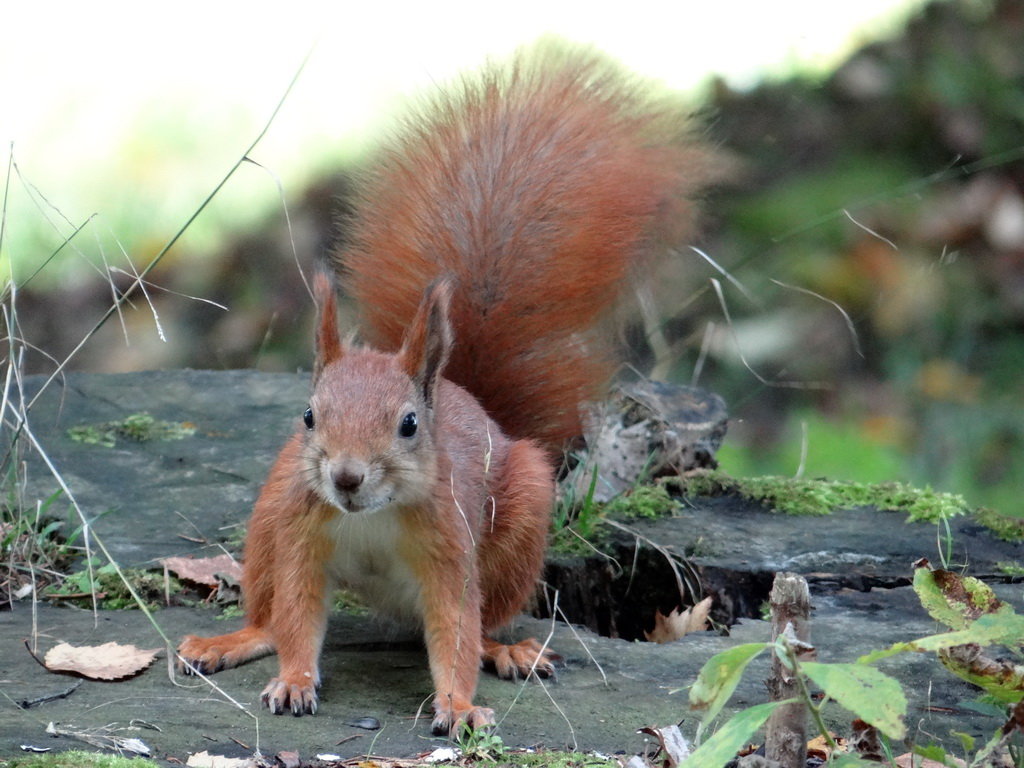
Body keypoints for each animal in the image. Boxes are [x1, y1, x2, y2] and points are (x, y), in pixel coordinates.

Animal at [174, 43, 704, 741]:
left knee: (485, 622)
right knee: (268, 613)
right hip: (271, 511)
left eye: (407, 424)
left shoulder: (449, 548)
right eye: (308, 415)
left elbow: (455, 628)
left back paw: (507, 651)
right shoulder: (302, 539)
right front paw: (293, 680)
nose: (346, 477)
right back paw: (231, 642)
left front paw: (457, 706)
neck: (369, 518)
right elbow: (297, 614)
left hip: (521, 517)